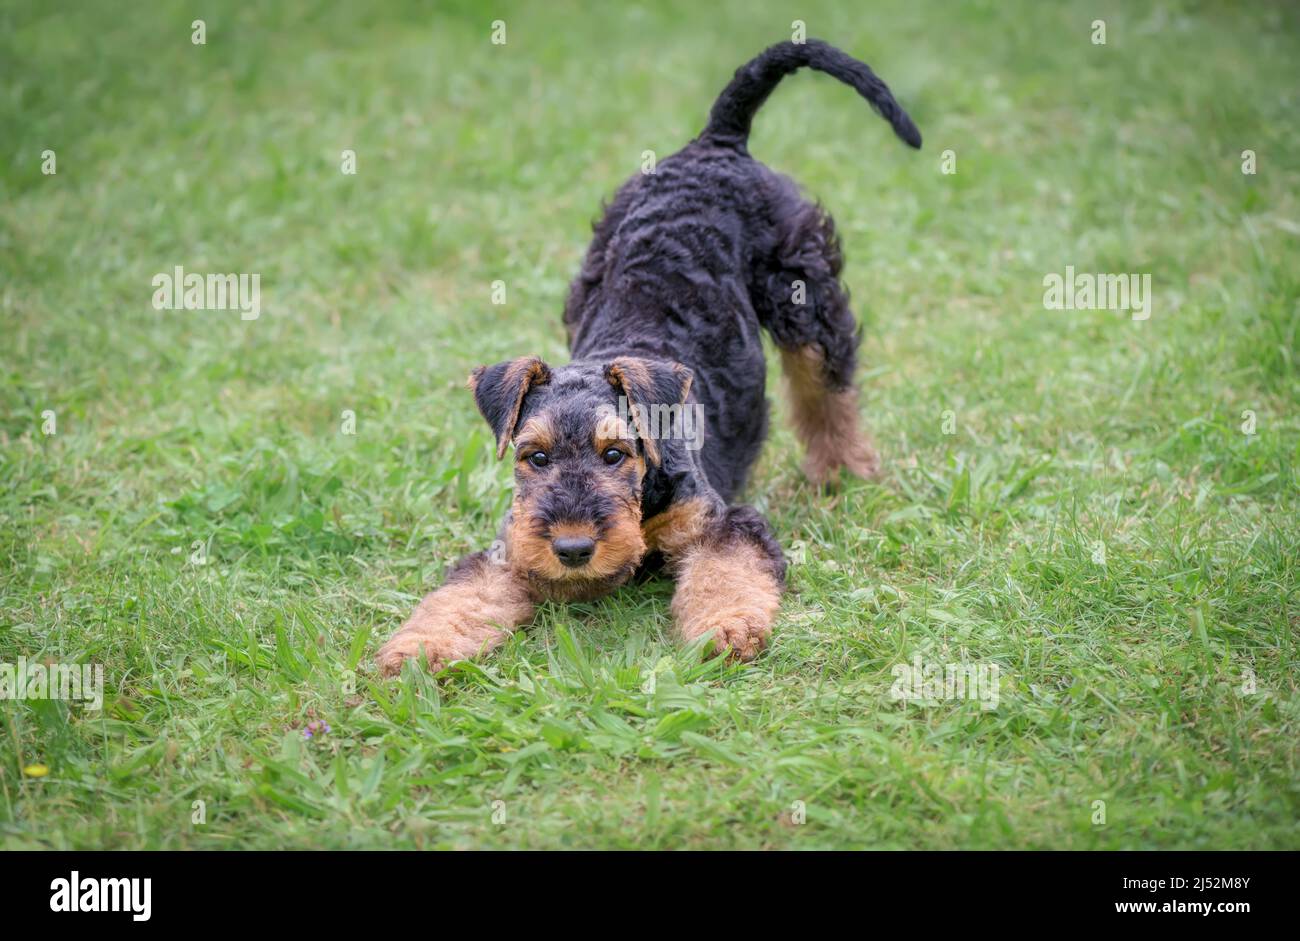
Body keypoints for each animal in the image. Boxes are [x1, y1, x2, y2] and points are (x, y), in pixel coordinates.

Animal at [377, 38, 920, 675]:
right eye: (534, 457)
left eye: (615, 454)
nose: (573, 549)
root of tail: (716, 142)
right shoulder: (509, 549)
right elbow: (463, 594)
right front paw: (417, 648)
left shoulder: (723, 524)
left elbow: (724, 575)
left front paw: (726, 628)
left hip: (805, 295)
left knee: (827, 389)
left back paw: (841, 472)